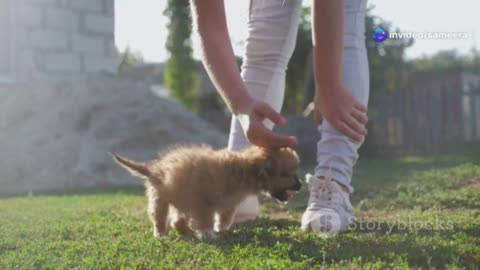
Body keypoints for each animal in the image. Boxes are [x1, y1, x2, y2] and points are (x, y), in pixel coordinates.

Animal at [112, 146, 300, 238]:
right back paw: (160, 233)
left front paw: (221, 230)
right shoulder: (203, 204)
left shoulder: (228, 205)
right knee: (158, 217)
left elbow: (224, 219)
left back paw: (184, 230)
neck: (242, 171)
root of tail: (154, 169)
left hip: (180, 199)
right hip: (160, 199)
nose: (300, 184)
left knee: (177, 221)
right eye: (290, 175)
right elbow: (206, 221)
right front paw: (207, 234)